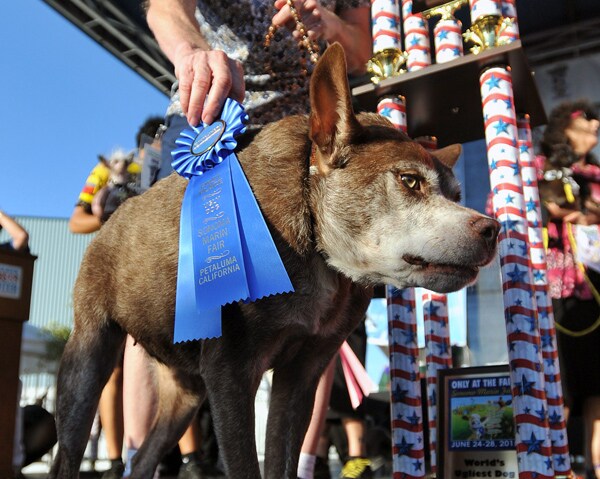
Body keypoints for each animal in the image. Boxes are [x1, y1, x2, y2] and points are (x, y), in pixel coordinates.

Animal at [49, 43, 500, 478]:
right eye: (409, 181)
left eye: (456, 195)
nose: (492, 229)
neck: (318, 245)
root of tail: (114, 217)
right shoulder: (231, 373)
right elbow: (247, 465)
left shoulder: (301, 377)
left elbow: (282, 457)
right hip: (88, 362)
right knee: (68, 454)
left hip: (186, 394)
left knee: (143, 460)